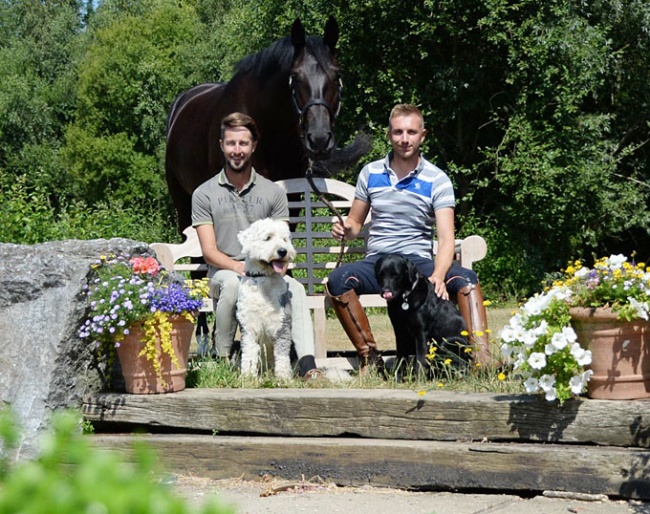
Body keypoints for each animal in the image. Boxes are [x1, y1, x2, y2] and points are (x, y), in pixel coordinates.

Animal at [235, 216, 296, 376]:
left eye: (284, 239)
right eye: (268, 238)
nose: (283, 251)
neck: (263, 279)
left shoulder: (282, 324)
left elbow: (281, 354)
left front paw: (283, 377)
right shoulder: (248, 326)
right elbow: (249, 354)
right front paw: (247, 377)